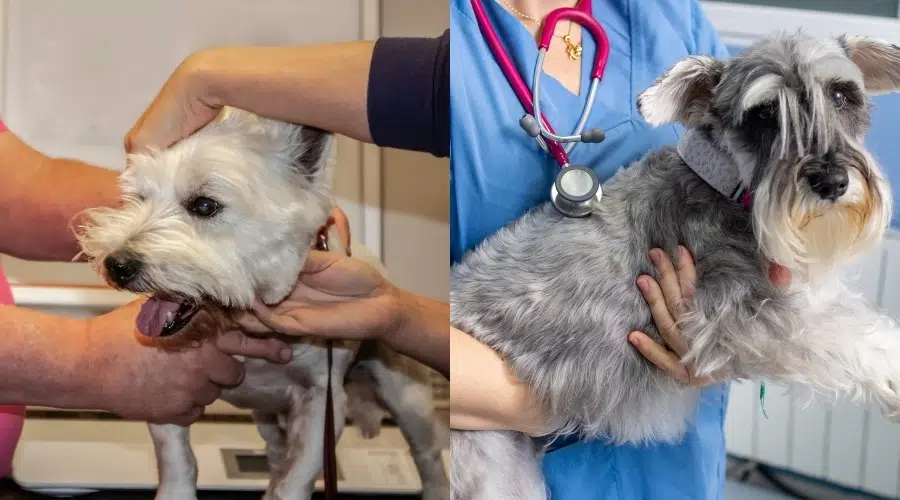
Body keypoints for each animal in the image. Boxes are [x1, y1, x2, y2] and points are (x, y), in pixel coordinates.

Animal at [75, 107, 448, 500]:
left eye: (204, 205)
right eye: (140, 198)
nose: (117, 265)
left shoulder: (320, 402)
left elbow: (293, 480)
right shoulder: (170, 392)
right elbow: (177, 460)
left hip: (407, 394)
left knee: (428, 453)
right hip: (270, 419)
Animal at [454, 32, 900, 500]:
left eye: (840, 94)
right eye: (763, 114)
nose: (831, 181)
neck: (725, 186)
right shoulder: (741, 314)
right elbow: (845, 334)